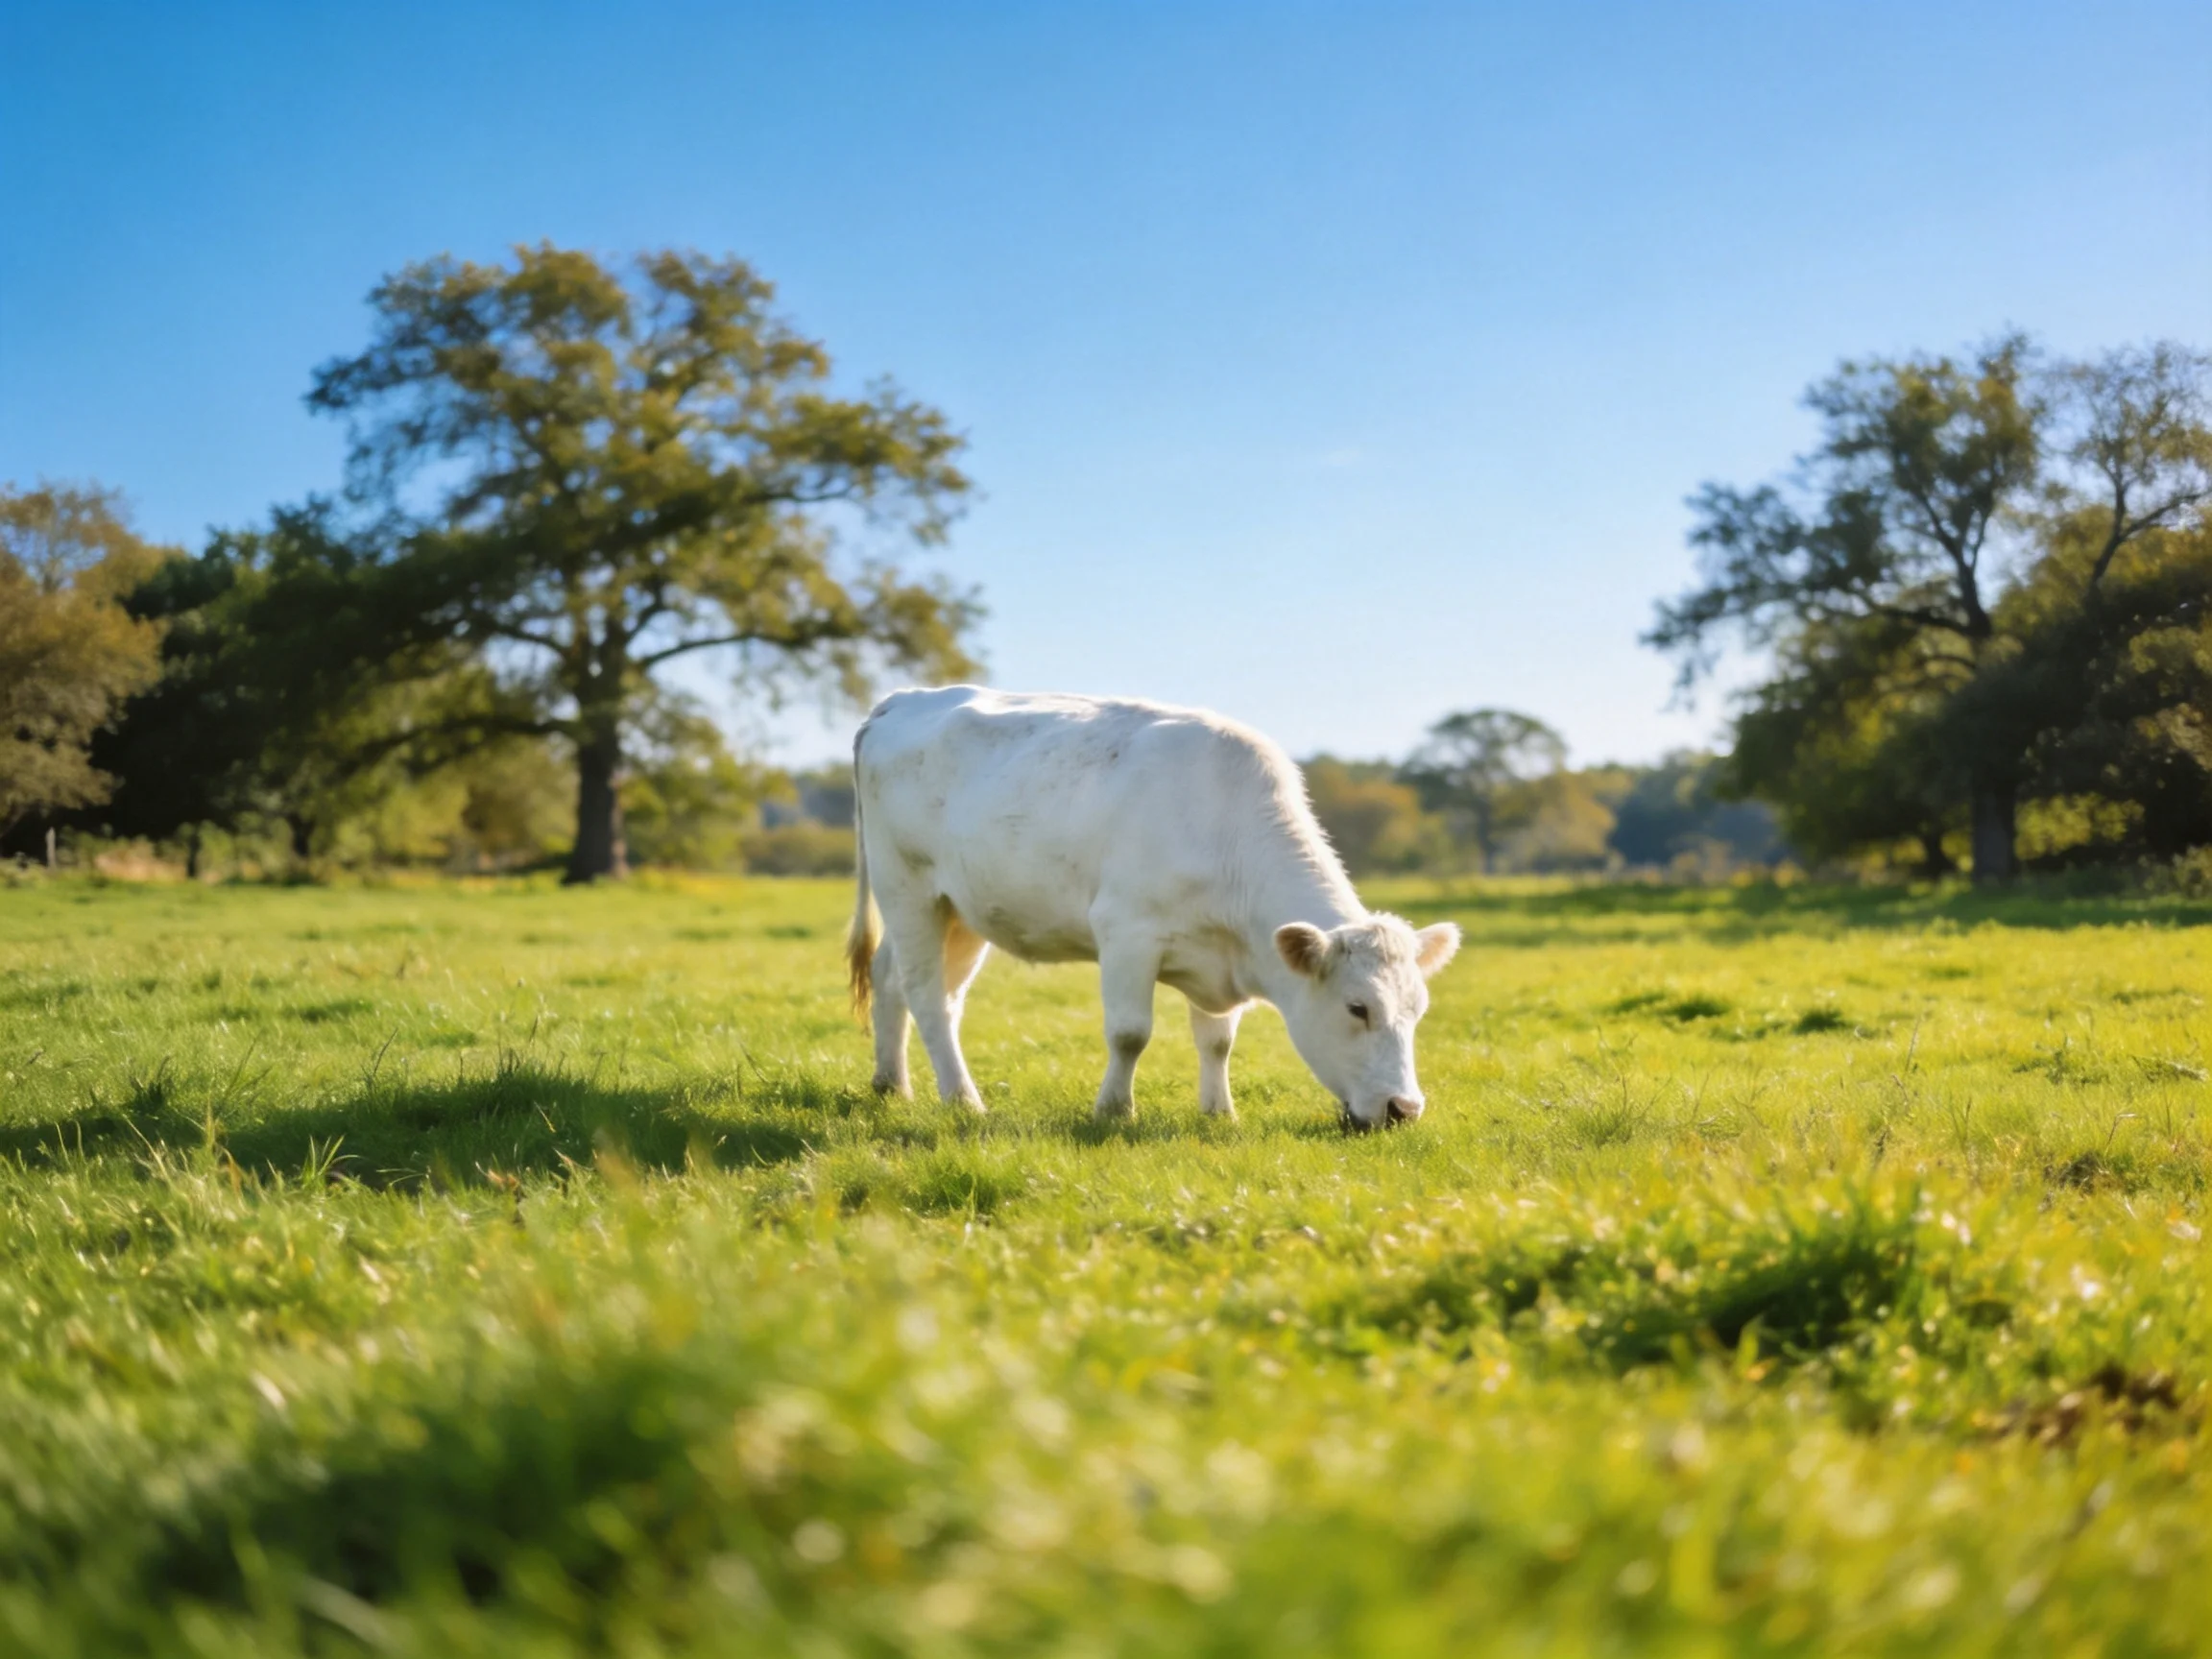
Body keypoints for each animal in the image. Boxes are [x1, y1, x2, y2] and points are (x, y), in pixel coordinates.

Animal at [845, 687, 1460, 1130]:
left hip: (961, 909)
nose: (1405, 1110)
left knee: (896, 979)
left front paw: (1219, 1112)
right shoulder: (1126, 934)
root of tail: (904, 699)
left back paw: (892, 1083)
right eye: (1358, 1008)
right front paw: (1113, 1110)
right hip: (908, 887)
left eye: (1418, 1011)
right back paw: (962, 1099)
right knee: (928, 996)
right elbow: (1130, 1033)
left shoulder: (1222, 957)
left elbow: (1217, 1040)